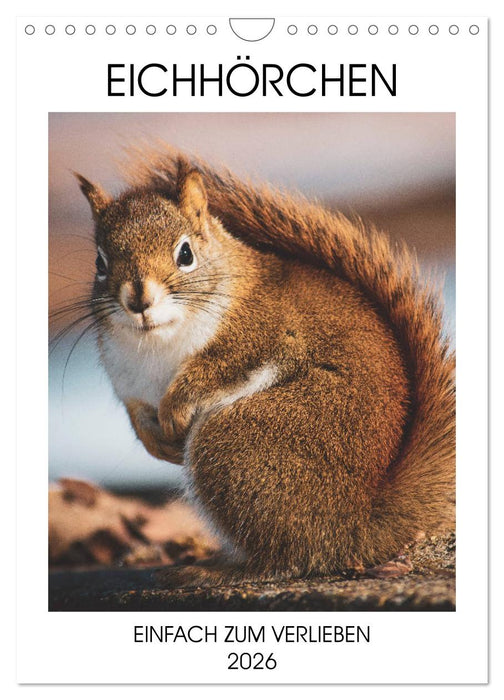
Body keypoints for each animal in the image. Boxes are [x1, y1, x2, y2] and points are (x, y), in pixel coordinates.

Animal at [75, 150, 455, 585]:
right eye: (100, 262)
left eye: (185, 254)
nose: (138, 301)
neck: (155, 343)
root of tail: (357, 524)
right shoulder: (130, 382)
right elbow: (137, 411)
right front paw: (157, 442)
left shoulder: (265, 332)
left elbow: (216, 371)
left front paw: (176, 407)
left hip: (240, 442)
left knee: (287, 557)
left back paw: (216, 570)